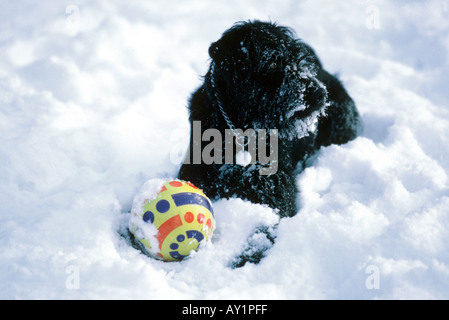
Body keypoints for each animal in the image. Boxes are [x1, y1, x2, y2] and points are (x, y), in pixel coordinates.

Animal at [178, 20, 360, 262]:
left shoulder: (275, 198)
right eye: (273, 62)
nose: (320, 93)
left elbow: (262, 232)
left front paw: (244, 258)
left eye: (297, 59)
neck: (239, 133)